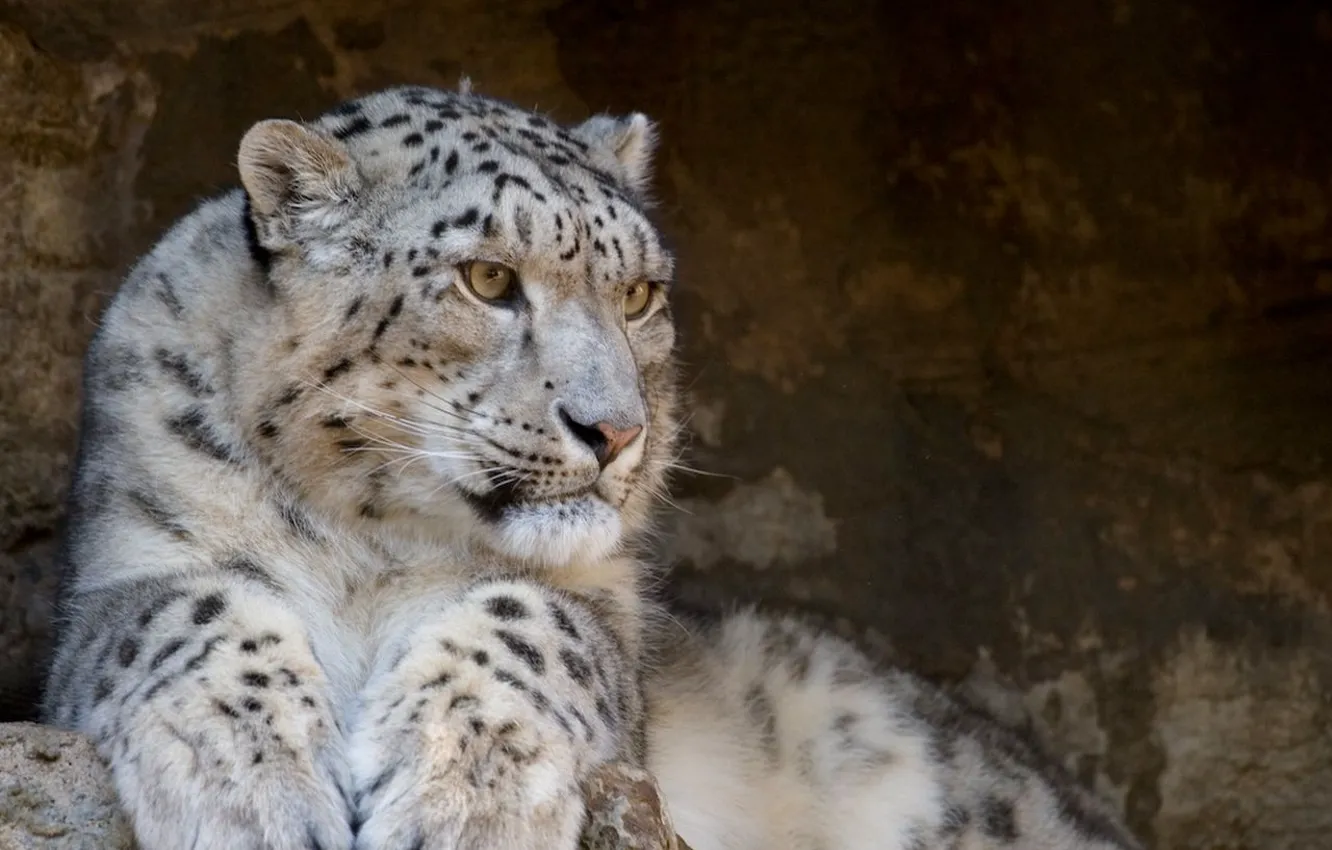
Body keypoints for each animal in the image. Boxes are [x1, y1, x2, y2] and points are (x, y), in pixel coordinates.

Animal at [41, 82, 1144, 850]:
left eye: (641, 294)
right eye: (489, 278)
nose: (614, 430)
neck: (374, 549)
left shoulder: (601, 612)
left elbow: (527, 622)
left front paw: (461, 801)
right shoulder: (118, 572)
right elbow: (188, 612)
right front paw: (243, 785)